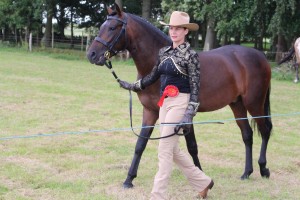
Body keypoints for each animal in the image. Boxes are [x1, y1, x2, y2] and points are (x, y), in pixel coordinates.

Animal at [85, 4, 274, 189]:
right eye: (102, 26)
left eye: (112, 28)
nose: (92, 54)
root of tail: (261, 56)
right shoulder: (150, 111)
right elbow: (141, 144)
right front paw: (129, 179)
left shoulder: (186, 115)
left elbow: (192, 147)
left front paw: (201, 178)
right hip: (237, 104)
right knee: (247, 135)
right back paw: (247, 172)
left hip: (254, 103)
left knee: (265, 130)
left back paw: (264, 169)